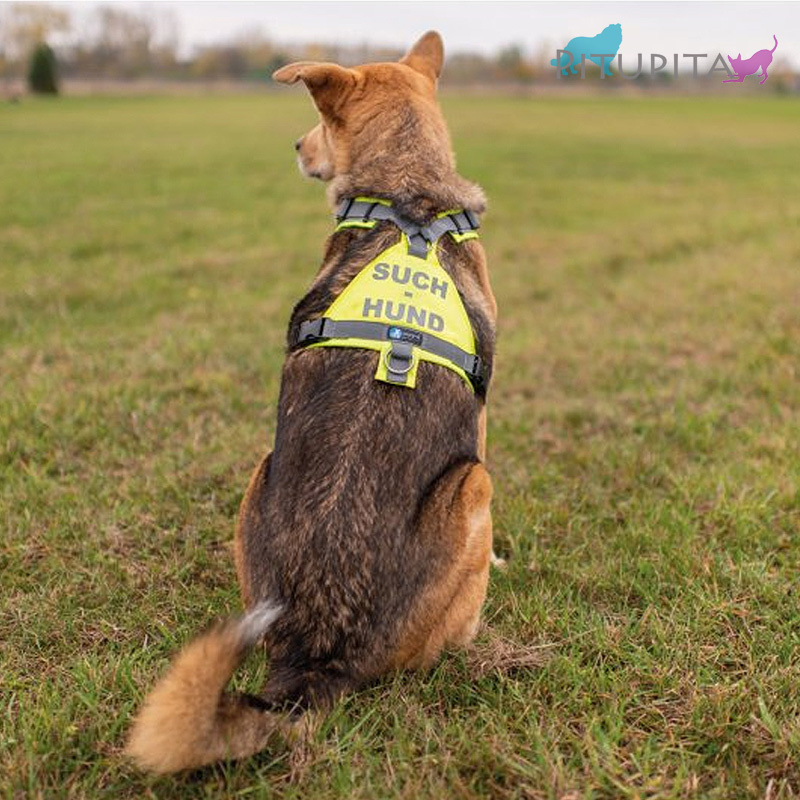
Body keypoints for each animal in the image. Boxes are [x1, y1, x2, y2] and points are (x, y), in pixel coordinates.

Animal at [124, 31, 496, 776]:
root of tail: (313, 651)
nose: (296, 146)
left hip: (259, 473)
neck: (406, 194)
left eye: (319, 123)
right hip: (475, 484)